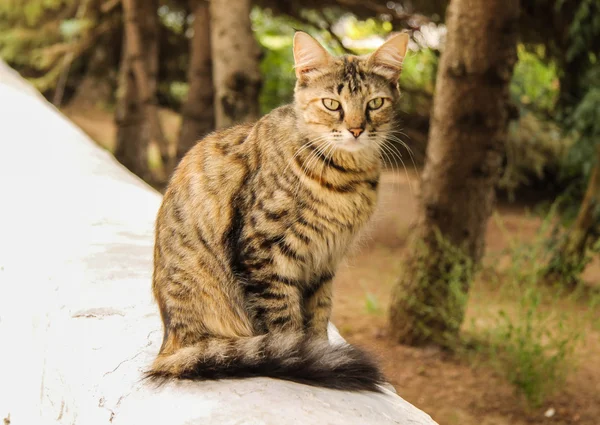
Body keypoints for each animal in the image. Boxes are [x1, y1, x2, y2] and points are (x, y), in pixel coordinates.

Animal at [148, 30, 410, 390]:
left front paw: (319, 352)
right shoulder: (265, 252)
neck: (346, 179)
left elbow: (317, 317)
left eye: (375, 103)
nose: (356, 130)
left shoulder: (324, 261)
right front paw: (301, 359)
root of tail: (170, 345)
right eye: (332, 104)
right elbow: (285, 325)